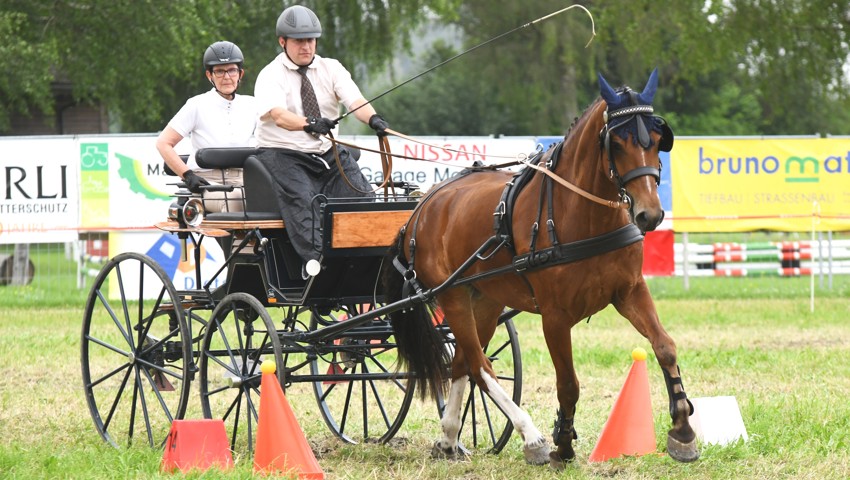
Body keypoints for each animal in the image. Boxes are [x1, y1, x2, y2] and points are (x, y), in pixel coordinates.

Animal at [382, 69, 696, 466]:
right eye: (618, 143)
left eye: (657, 140)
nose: (649, 214)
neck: (581, 215)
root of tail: (421, 208)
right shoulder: (555, 317)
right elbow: (568, 383)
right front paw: (563, 443)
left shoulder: (629, 292)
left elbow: (665, 346)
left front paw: (683, 429)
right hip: (452, 296)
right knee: (480, 365)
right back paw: (530, 437)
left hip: (485, 299)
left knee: (464, 362)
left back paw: (450, 438)